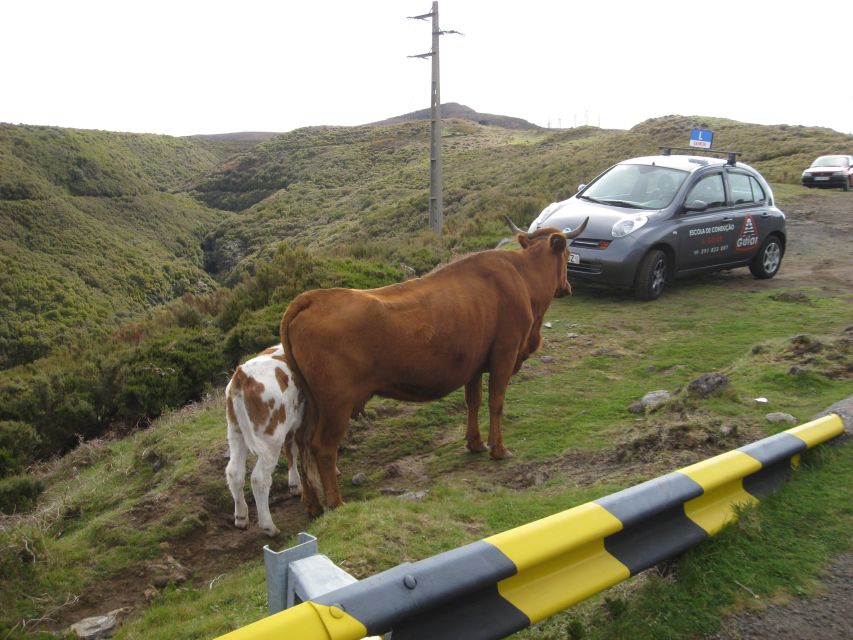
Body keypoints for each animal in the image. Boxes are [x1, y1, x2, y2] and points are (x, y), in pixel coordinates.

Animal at [225, 344, 304, 536]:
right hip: (271, 439)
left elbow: (291, 449)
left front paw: (295, 485)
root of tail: (242, 374)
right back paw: (269, 526)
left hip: (236, 433)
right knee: (259, 479)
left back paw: (241, 517)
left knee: (234, 472)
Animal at [280, 215, 584, 516]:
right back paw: (335, 503)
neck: (523, 278)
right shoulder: (504, 355)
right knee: (322, 448)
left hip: (311, 403)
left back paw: (313, 504)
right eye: (567, 253)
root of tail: (311, 298)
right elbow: (496, 402)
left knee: (302, 444)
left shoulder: (474, 364)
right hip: (336, 404)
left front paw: (475, 443)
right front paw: (498, 449)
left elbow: (473, 401)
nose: (568, 287)